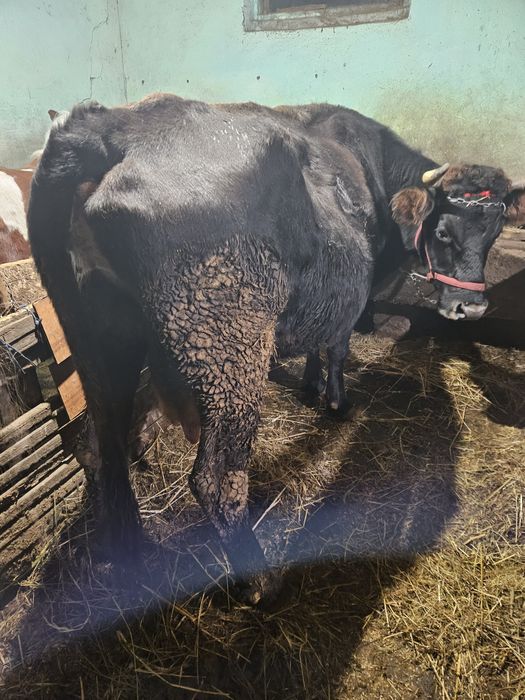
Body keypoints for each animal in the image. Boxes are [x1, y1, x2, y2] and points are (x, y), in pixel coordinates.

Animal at [28, 94, 525, 603]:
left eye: (493, 232)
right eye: (442, 232)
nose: (471, 306)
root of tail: (113, 125)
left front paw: (309, 386)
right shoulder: (350, 297)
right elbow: (337, 346)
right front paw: (335, 401)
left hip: (97, 342)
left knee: (105, 449)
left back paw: (129, 554)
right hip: (230, 353)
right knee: (216, 480)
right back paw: (259, 580)